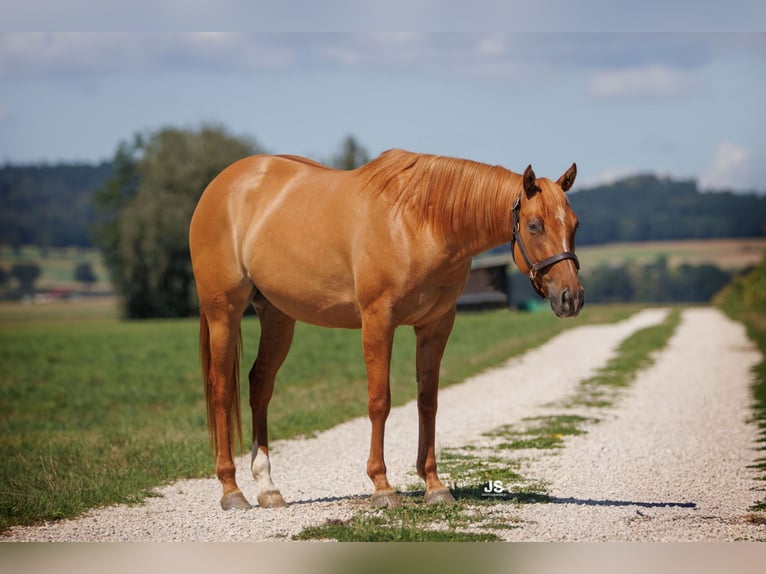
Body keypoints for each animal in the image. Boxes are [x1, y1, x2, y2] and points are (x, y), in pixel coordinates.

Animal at [189, 149, 584, 510]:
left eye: (574, 224)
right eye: (534, 225)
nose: (572, 298)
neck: (421, 222)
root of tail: (218, 187)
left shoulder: (435, 326)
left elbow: (428, 401)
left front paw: (434, 485)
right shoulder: (378, 320)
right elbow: (380, 401)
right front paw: (382, 486)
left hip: (277, 315)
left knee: (260, 385)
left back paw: (268, 487)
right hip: (224, 312)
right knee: (222, 389)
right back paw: (232, 491)